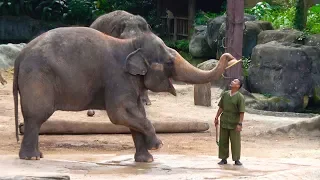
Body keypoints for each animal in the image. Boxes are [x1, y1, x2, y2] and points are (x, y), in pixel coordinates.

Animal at [13, 26, 238, 162]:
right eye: (168, 62)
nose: (229, 56)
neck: (131, 44)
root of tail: (20, 55)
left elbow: (136, 113)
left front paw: (147, 160)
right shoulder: (118, 78)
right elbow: (119, 114)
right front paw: (157, 146)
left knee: (35, 120)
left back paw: (37, 156)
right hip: (37, 78)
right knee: (36, 117)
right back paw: (32, 158)